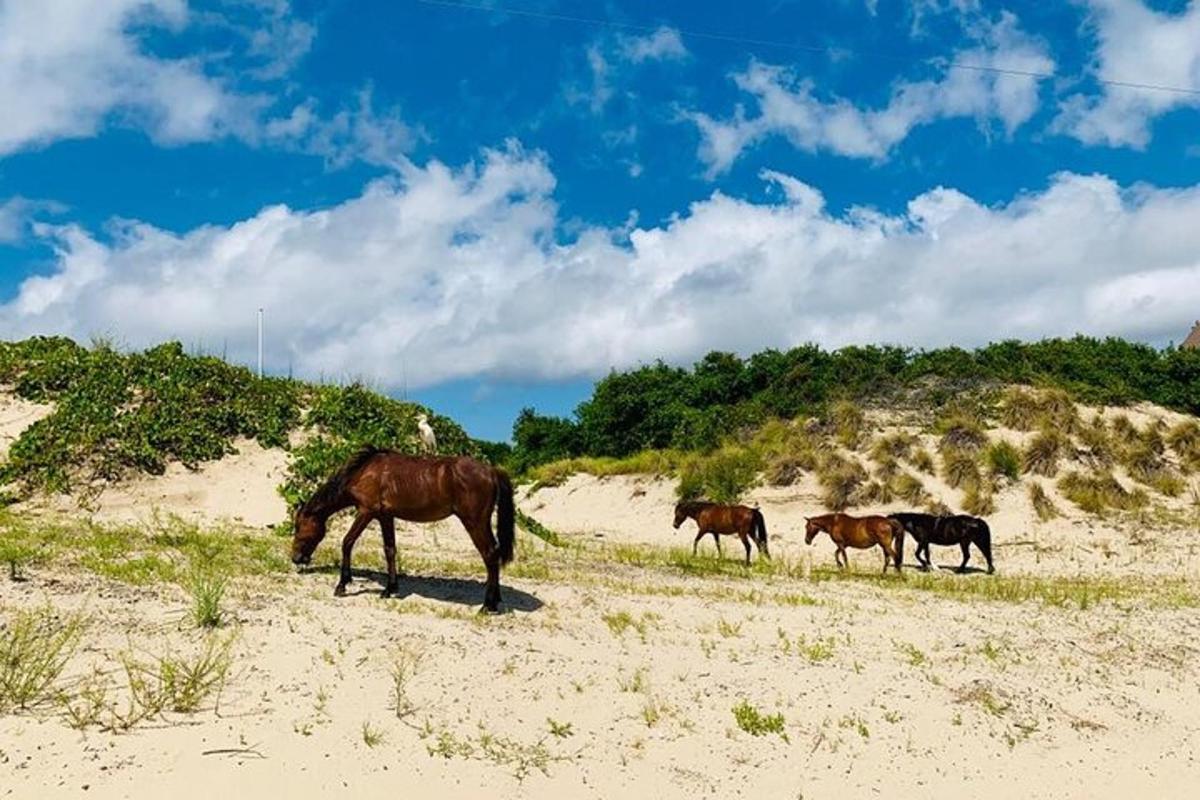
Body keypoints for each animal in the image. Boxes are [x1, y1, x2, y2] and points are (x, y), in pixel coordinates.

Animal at [294, 448, 516, 609]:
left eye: (298, 527)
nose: (295, 558)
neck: (364, 472)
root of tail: (492, 471)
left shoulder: (366, 512)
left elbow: (347, 542)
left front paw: (342, 584)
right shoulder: (385, 516)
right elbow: (390, 550)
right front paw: (390, 589)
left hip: (475, 522)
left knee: (489, 554)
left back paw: (488, 605)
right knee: (494, 554)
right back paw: (496, 599)